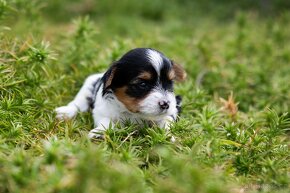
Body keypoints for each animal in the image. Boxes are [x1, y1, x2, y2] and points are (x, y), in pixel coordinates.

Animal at [55, 48, 187, 141]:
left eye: (170, 83)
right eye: (142, 84)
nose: (166, 104)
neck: (132, 113)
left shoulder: (173, 110)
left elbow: (166, 121)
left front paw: (167, 136)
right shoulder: (101, 111)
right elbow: (106, 122)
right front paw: (100, 132)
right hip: (89, 82)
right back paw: (66, 112)